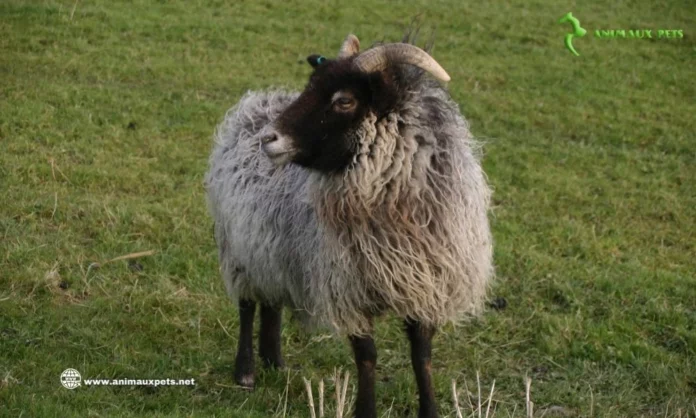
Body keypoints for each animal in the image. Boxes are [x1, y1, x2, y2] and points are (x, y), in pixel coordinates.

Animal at [205, 33, 494, 418]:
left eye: (344, 100)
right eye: (310, 85)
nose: (268, 139)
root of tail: (256, 101)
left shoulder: (424, 286)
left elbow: (422, 356)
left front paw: (430, 411)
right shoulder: (348, 288)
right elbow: (367, 356)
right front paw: (365, 411)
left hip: (270, 248)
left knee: (271, 303)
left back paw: (274, 363)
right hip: (238, 248)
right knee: (248, 305)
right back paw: (246, 372)